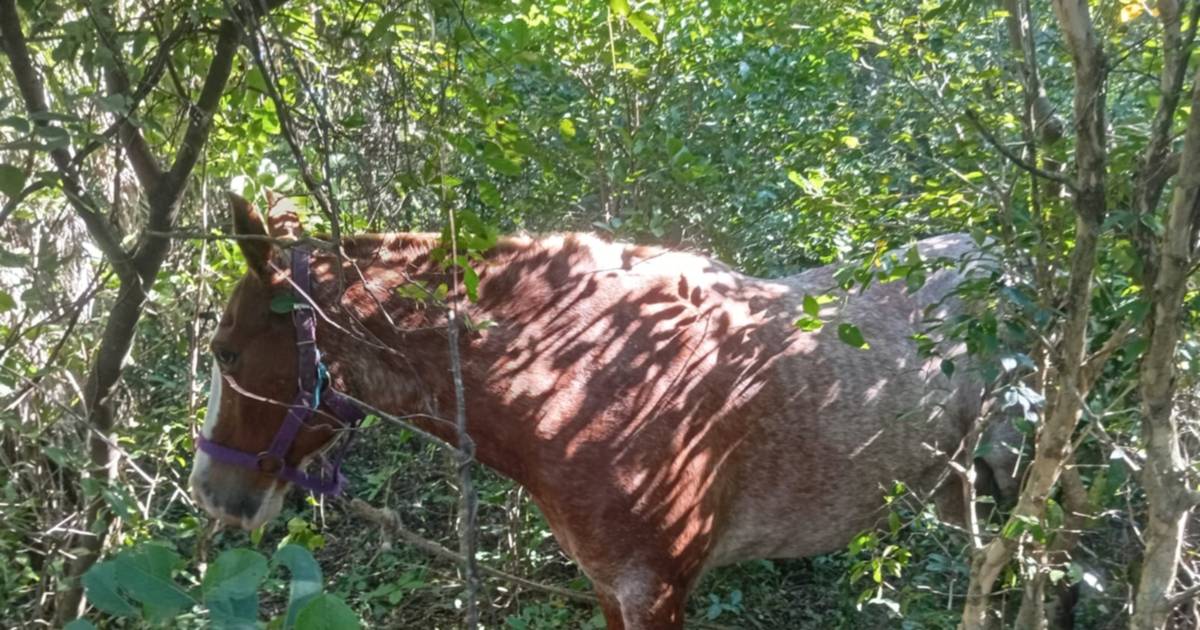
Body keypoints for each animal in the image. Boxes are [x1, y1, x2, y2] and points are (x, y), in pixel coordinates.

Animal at [189, 192, 1009, 629]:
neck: (586, 380)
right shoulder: (610, 585)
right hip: (955, 488)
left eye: (226, 352)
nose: (210, 491)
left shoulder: (657, 592)